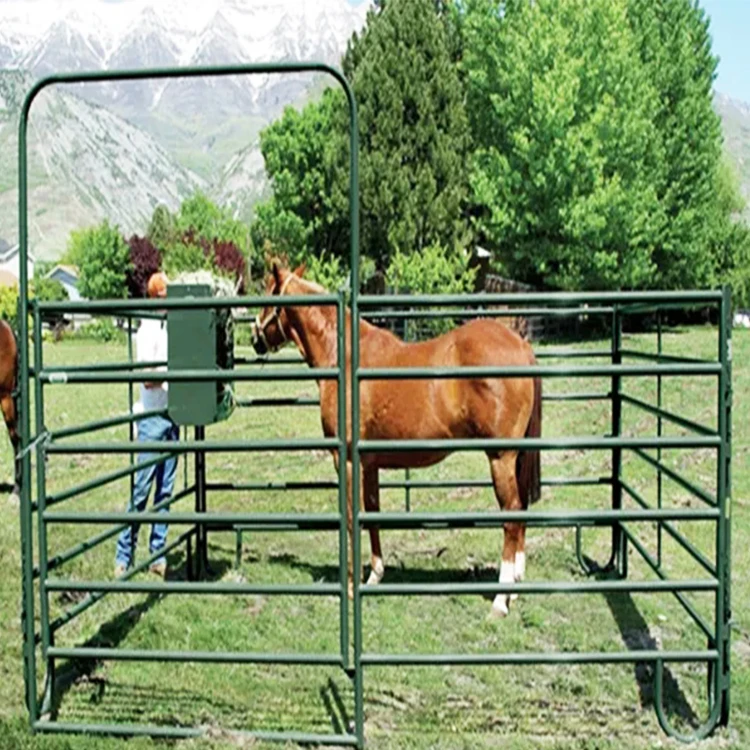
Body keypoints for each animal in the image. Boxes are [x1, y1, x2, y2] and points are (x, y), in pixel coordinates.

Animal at [251, 261, 542, 618]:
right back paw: (516, 586)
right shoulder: (370, 463)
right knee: (521, 509)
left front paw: (351, 586)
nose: (254, 337)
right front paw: (375, 574)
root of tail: (521, 346)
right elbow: (372, 512)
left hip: (500, 457)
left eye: (268, 296)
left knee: (511, 515)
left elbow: (352, 516)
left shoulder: (346, 460)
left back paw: (501, 600)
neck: (344, 354)